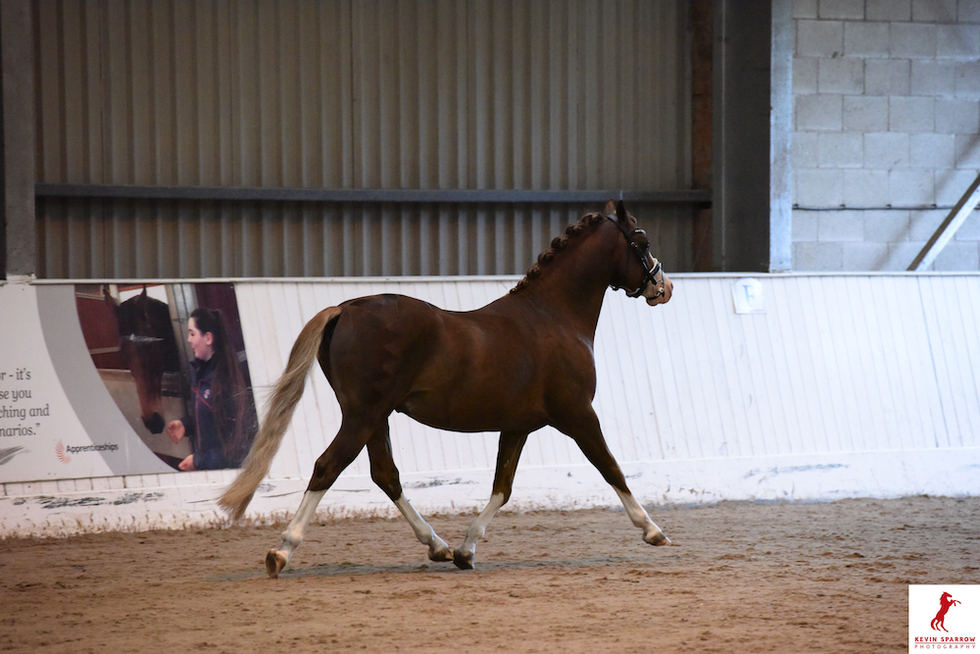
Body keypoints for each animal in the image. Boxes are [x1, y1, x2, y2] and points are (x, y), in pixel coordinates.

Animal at [219, 200, 674, 577]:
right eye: (643, 241)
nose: (664, 287)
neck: (553, 316)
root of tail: (344, 308)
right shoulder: (578, 415)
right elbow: (611, 468)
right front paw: (652, 531)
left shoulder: (518, 427)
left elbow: (502, 487)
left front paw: (466, 550)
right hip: (363, 416)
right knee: (327, 467)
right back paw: (282, 551)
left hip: (373, 418)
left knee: (386, 475)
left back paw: (436, 545)